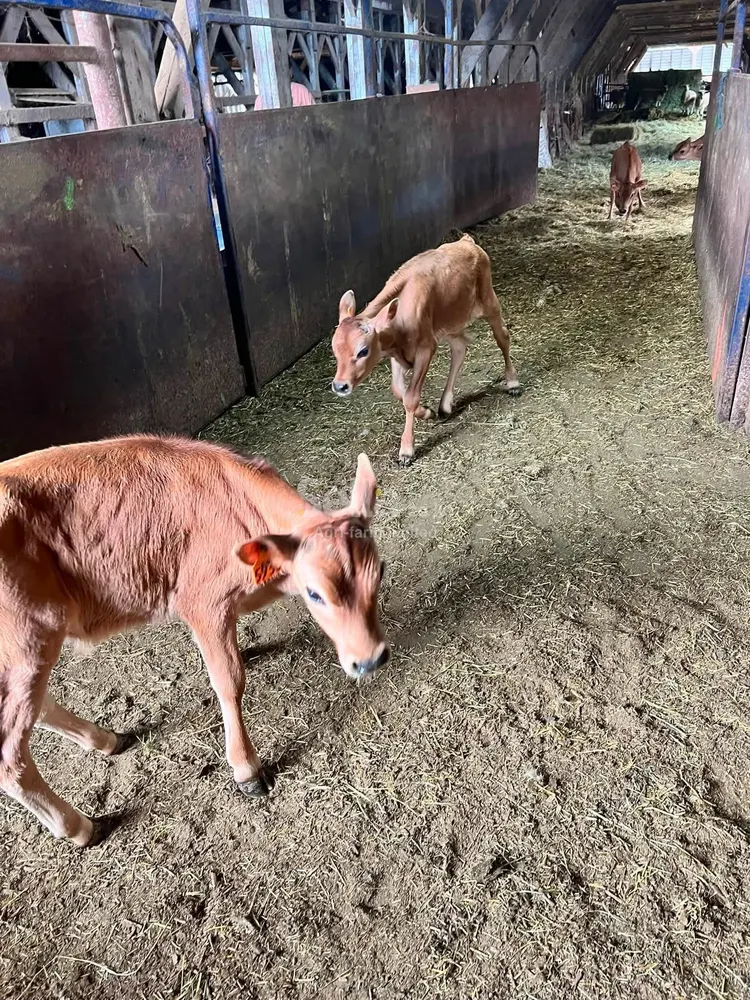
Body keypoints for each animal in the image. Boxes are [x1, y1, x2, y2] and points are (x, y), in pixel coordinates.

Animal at [0, 436, 387, 846]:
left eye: (379, 571)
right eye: (315, 593)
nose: (371, 659)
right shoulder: (203, 602)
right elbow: (229, 680)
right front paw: (247, 770)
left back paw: (104, 739)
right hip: (27, 643)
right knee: (11, 756)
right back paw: (78, 826)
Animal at [330, 234, 522, 466]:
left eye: (363, 351)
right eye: (334, 350)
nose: (340, 386)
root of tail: (466, 241)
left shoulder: (425, 348)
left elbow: (411, 397)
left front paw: (406, 450)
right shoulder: (396, 352)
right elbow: (398, 390)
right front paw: (426, 412)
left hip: (489, 301)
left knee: (502, 337)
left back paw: (512, 382)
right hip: (449, 322)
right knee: (460, 348)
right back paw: (445, 405)